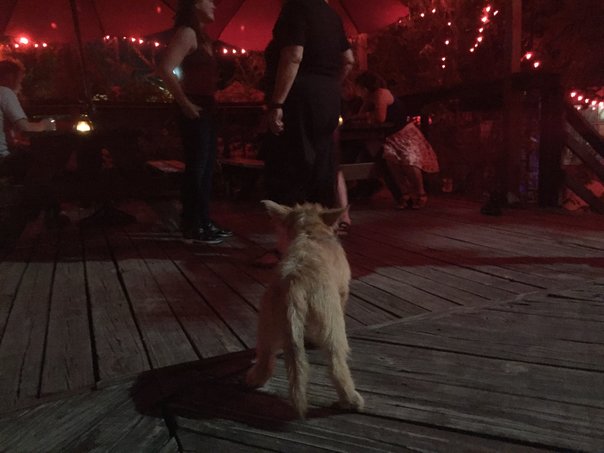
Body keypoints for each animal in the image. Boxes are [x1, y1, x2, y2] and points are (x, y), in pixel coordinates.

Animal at [245, 200, 364, 418]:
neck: (310, 230)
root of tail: (295, 284)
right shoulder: (342, 291)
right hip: (332, 324)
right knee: (336, 365)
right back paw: (351, 400)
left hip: (266, 324)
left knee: (265, 358)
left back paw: (254, 379)